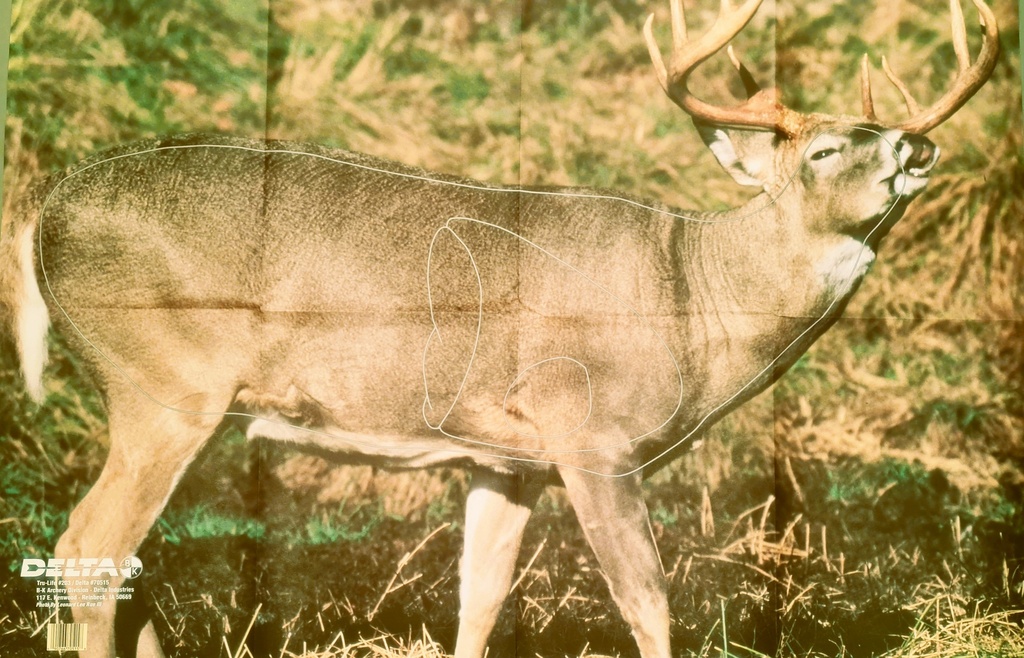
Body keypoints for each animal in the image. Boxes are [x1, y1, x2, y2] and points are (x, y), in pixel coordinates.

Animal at [0, 0, 998, 656]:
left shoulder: (503, 456)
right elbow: (647, 602)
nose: (916, 146)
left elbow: (477, 601)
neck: (692, 297)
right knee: (86, 549)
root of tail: (43, 214)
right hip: (162, 382)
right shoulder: (591, 434)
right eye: (824, 148)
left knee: (113, 560)